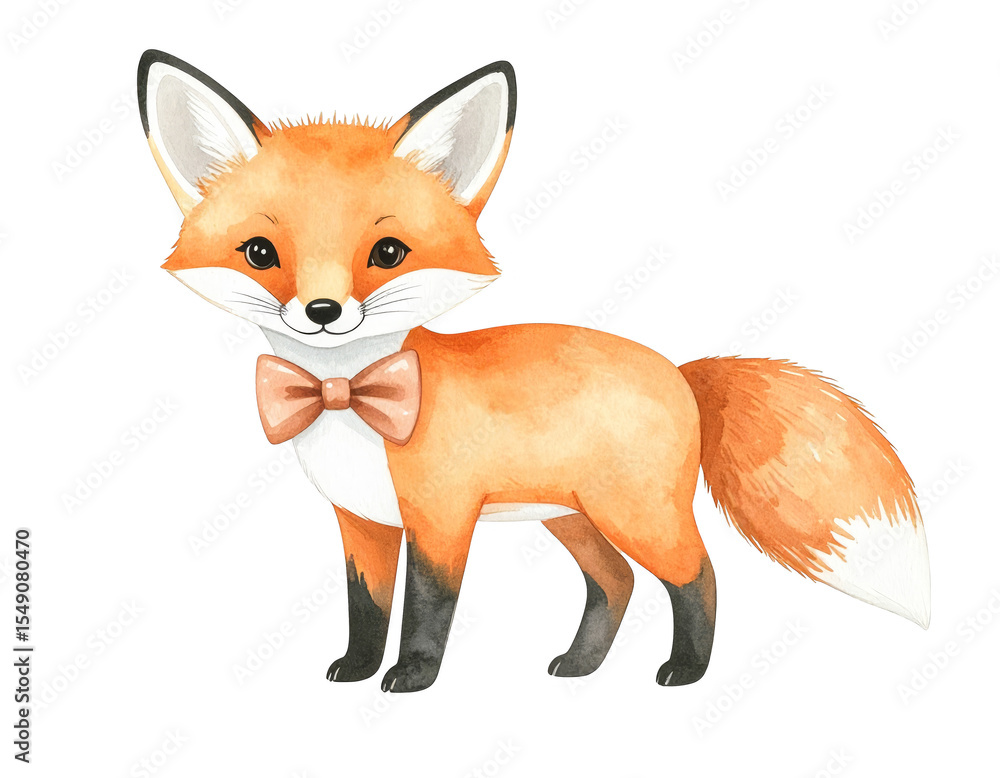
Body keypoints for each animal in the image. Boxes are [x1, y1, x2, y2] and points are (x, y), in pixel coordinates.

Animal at [137, 50, 930, 693]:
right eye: (261, 253)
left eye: (388, 253)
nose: (324, 311)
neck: (348, 396)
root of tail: (680, 368)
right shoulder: (362, 522)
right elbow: (367, 608)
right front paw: (357, 669)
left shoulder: (442, 518)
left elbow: (426, 608)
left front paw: (412, 676)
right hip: (572, 516)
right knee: (617, 583)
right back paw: (581, 664)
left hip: (636, 513)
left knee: (698, 574)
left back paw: (686, 670)